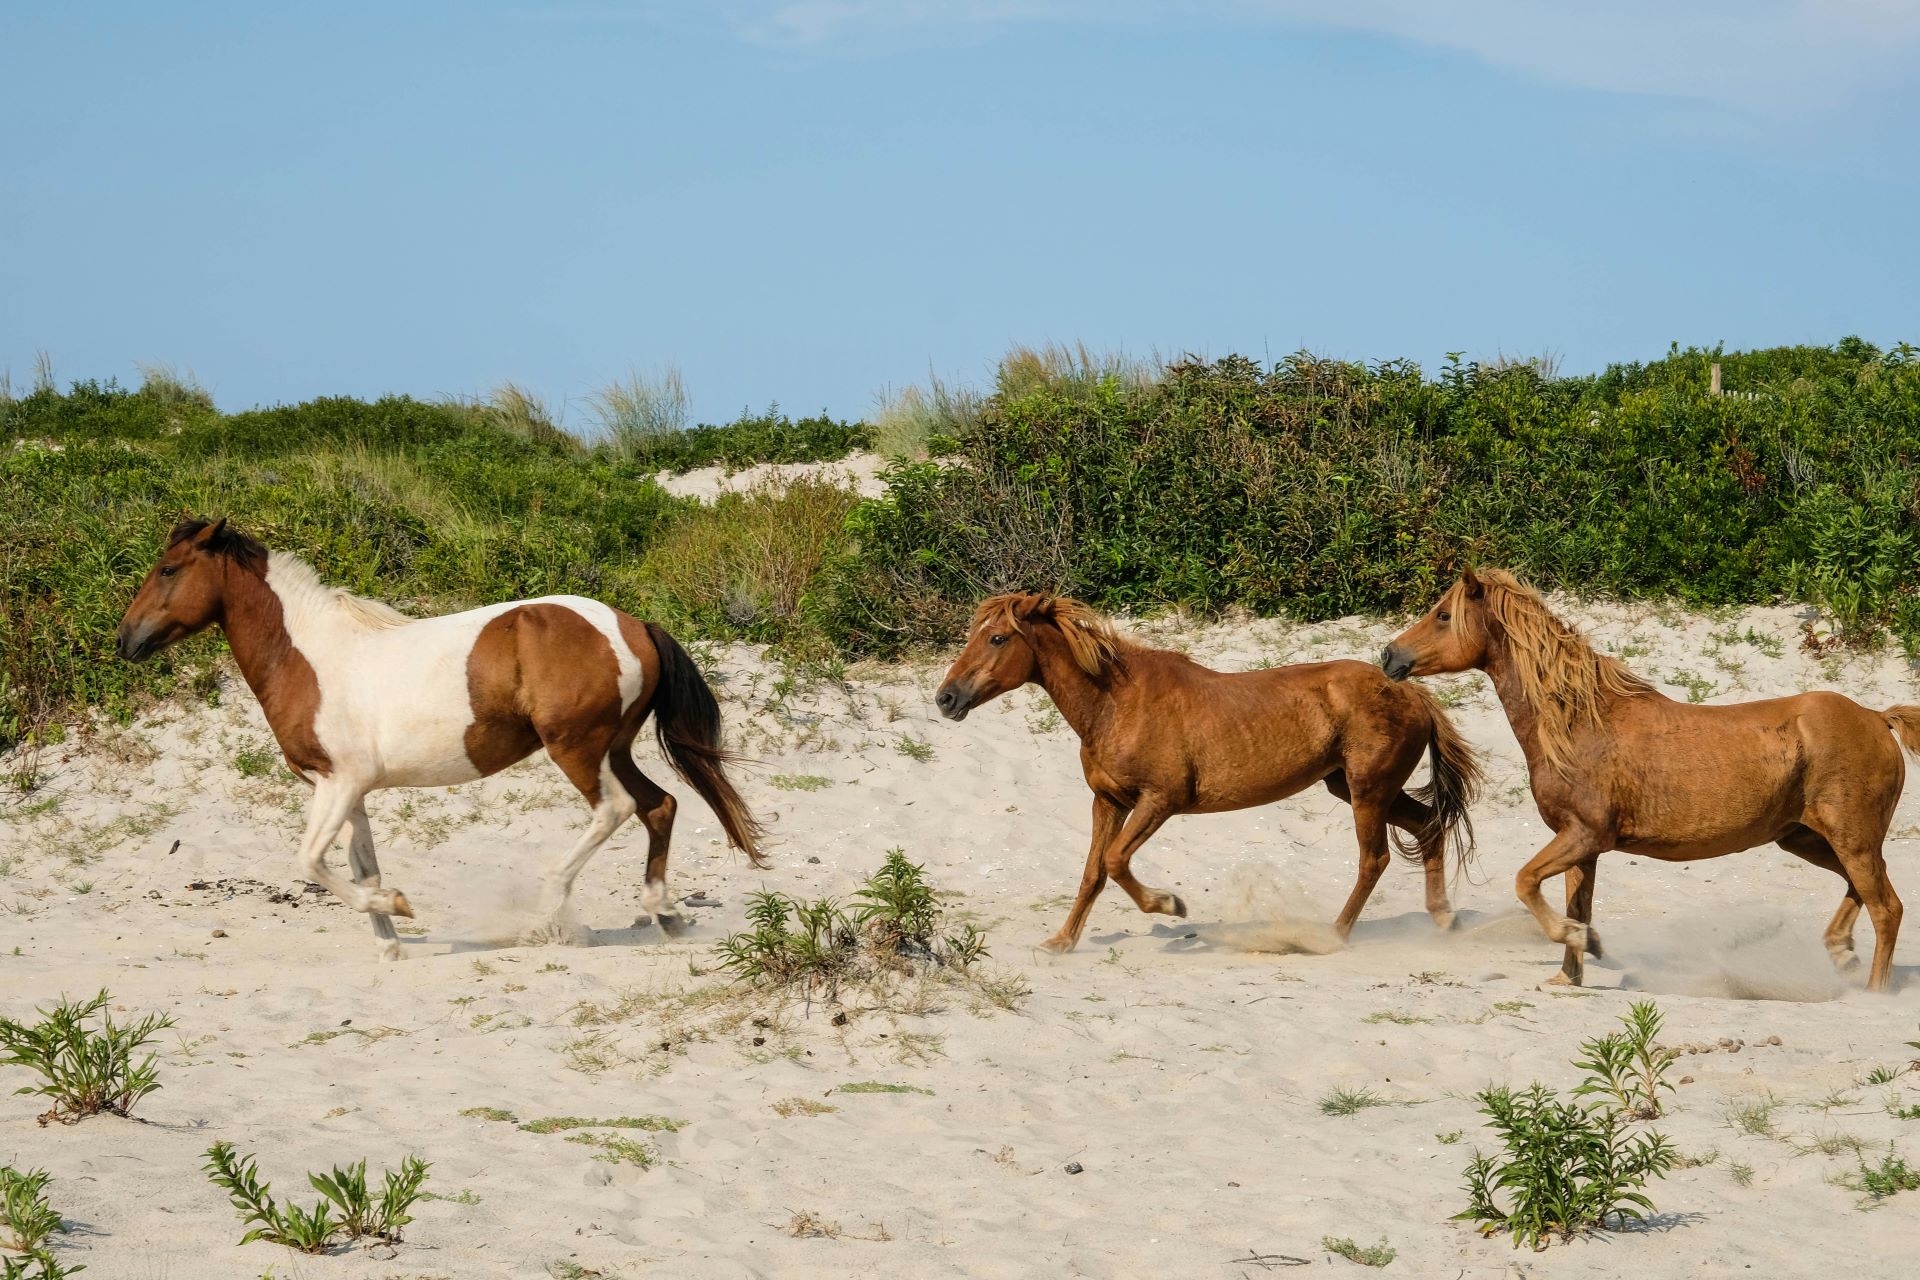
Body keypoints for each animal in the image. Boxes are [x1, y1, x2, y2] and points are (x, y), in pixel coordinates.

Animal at [114, 514, 764, 955]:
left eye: (168, 569)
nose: (125, 641)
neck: (309, 657)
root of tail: (633, 625)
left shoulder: (339, 783)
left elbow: (312, 862)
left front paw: (396, 908)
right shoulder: (349, 791)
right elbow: (361, 866)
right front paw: (389, 944)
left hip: (575, 748)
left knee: (618, 809)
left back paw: (551, 914)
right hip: (614, 746)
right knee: (660, 805)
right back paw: (665, 913)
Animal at [929, 594, 1482, 955]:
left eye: (997, 637)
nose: (946, 698)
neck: (1115, 703)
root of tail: (1411, 691)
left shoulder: (1160, 800)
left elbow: (1114, 861)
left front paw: (1171, 905)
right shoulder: (1107, 801)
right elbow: (1092, 873)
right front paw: (1061, 942)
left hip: (1368, 791)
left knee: (1374, 859)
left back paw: (1333, 936)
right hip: (1355, 787)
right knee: (1429, 826)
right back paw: (1443, 918)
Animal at [1390, 571, 1912, 990]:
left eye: (1443, 615)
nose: (1390, 655)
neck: (1581, 724)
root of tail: (1877, 718)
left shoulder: (1585, 834)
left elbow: (1526, 882)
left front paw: (1582, 942)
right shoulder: (1582, 846)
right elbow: (1576, 904)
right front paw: (1570, 972)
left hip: (1852, 839)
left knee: (1888, 907)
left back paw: (1873, 991)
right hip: (1806, 839)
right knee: (1861, 890)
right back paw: (1840, 952)